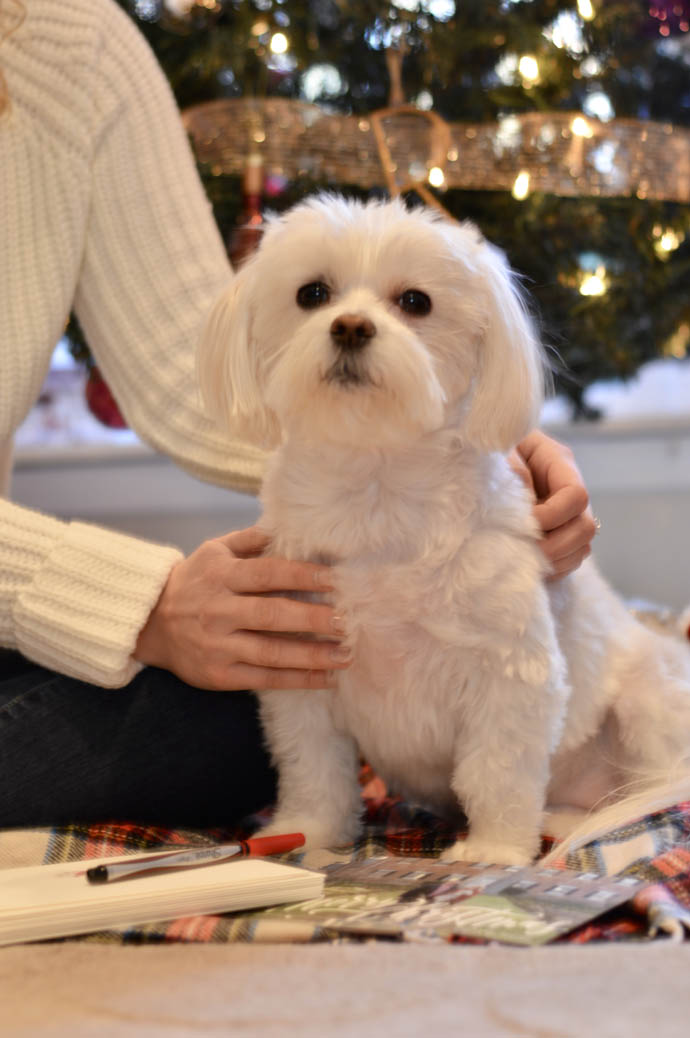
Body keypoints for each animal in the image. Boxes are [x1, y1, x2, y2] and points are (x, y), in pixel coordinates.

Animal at [196, 196, 688, 867]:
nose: (350, 327)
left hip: (646, 705)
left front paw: (493, 851)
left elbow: (496, 772)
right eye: (312, 293)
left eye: (416, 302)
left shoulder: (510, 675)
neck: (377, 490)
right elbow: (314, 772)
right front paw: (306, 837)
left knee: (647, 787)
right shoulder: (300, 675)